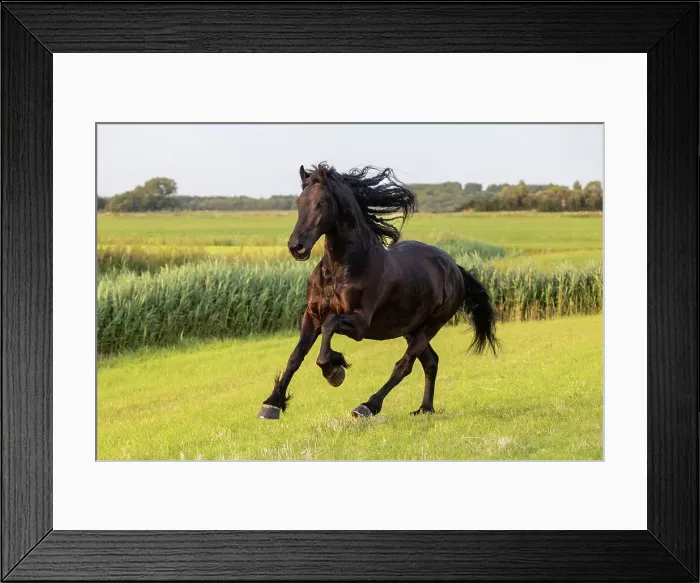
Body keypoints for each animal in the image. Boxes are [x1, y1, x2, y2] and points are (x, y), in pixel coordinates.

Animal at [257, 163, 499, 420]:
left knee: (404, 365)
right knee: (430, 361)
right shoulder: (312, 316)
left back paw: (367, 406)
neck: (341, 270)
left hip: (430, 326)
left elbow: (329, 327)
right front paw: (271, 404)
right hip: (411, 328)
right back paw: (424, 408)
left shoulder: (360, 324)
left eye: (320, 203)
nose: (297, 247)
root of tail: (453, 267)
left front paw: (335, 369)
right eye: (298, 202)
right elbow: (295, 357)